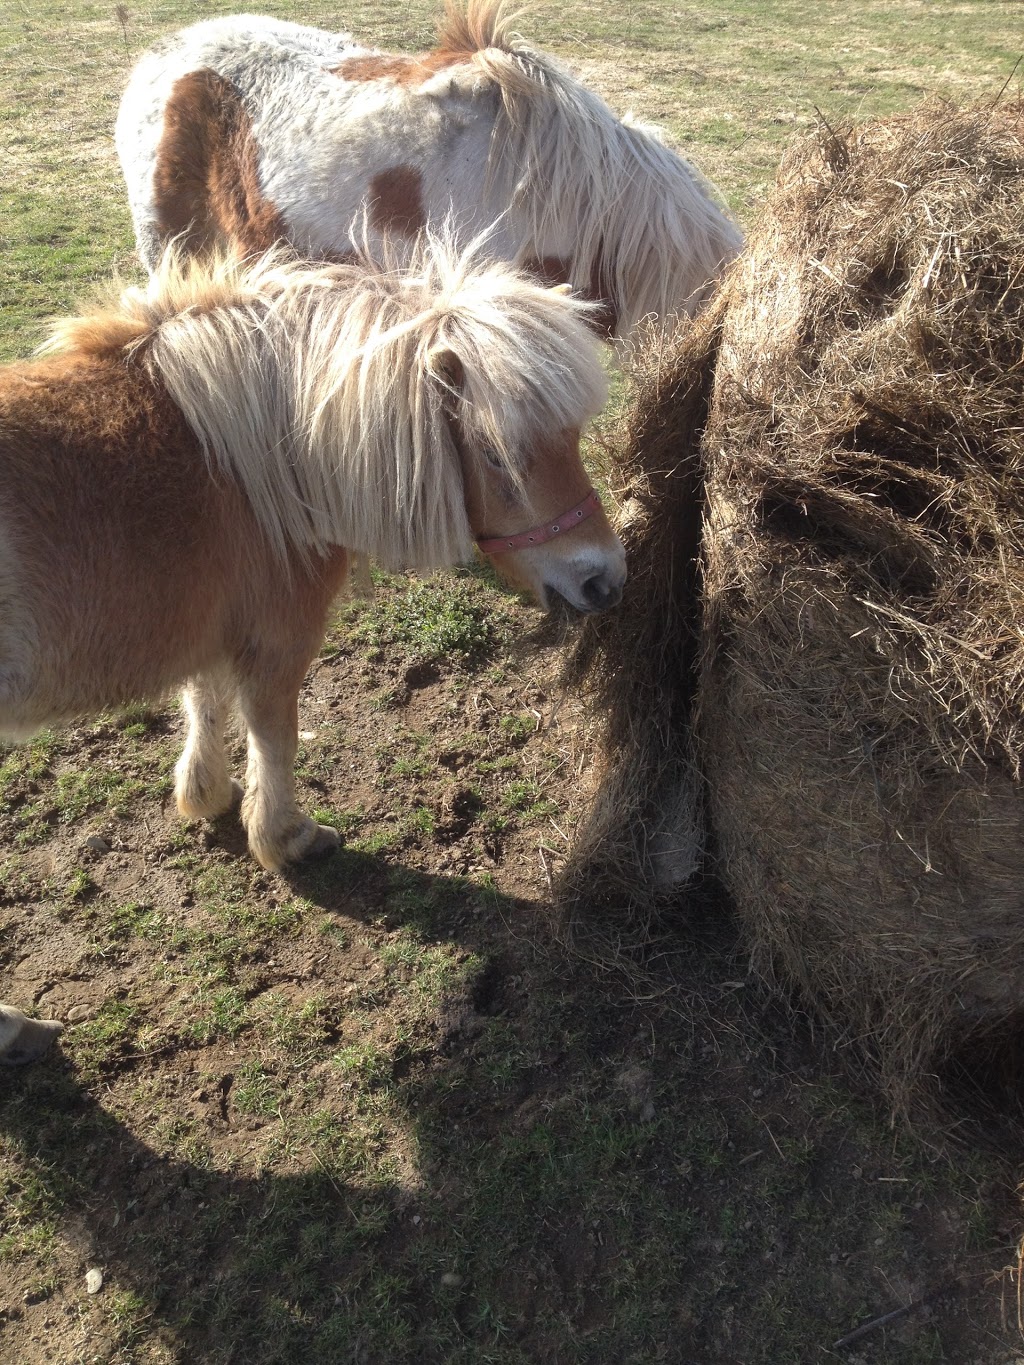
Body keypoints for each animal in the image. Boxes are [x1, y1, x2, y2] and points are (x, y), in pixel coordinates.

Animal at [0, 237, 625, 1064]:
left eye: (573, 437)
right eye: (496, 453)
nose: (604, 579)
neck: (257, 456)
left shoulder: (215, 625)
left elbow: (204, 700)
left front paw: (205, 796)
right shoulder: (278, 638)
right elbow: (274, 735)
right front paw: (287, 836)